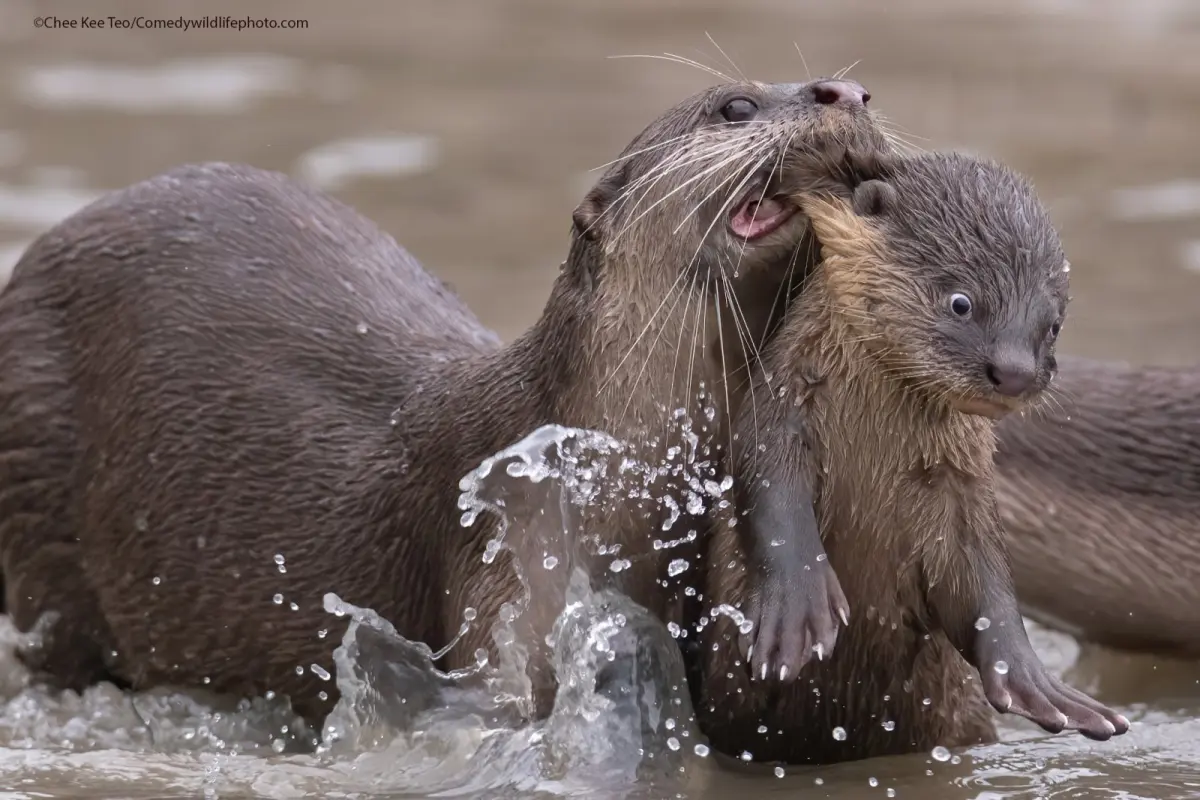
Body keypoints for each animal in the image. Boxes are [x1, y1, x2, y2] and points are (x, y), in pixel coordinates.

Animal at [700, 151, 1128, 767]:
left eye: (1052, 325)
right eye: (961, 301)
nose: (1016, 372)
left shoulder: (962, 486)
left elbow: (983, 582)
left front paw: (1033, 680)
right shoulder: (780, 413)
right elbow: (771, 495)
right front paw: (796, 610)